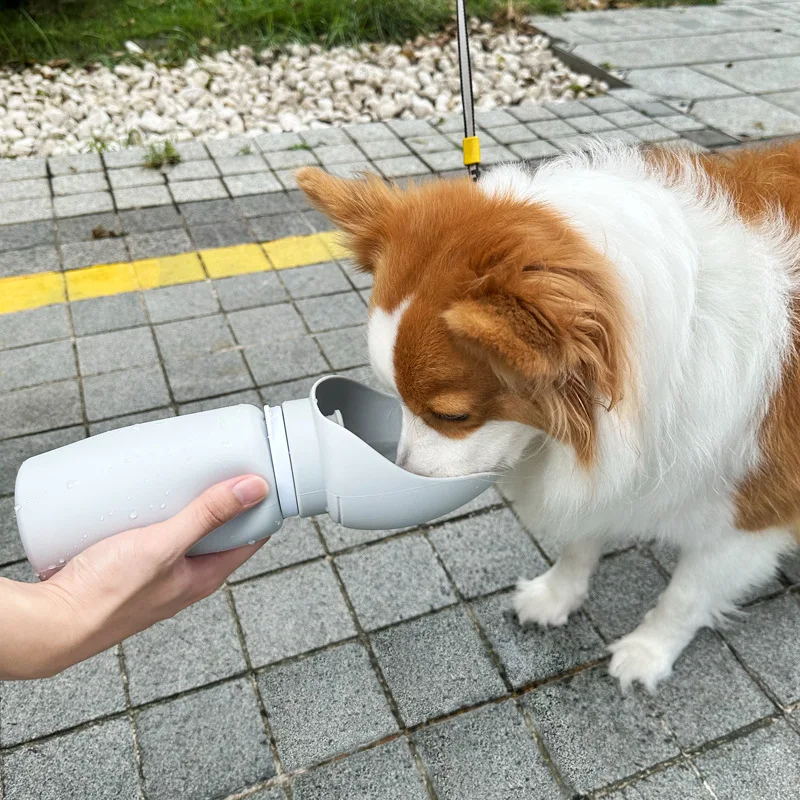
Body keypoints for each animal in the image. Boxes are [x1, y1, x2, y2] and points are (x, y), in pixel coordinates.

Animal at [296, 142, 800, 688]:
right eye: (392, 397)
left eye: (452, 416)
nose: (405, 483)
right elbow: (581, 538)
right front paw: (557, 595)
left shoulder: (753, 516)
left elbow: (685, 596)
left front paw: (649, 650)